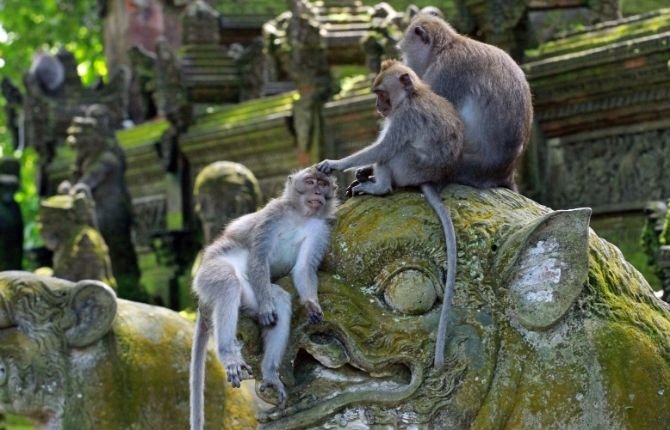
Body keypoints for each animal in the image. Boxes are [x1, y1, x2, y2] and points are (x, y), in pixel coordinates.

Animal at [190, 167, 338, 430]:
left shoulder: (320, 229)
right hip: (208, 274)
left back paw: (269, 373)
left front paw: (311, 303)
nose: (318, 193)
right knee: (228, 283)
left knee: (280, 298)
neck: (300, 216)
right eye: (310, 182)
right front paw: (269, 307)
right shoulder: (273, 215)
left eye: (323, 183)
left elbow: (303, 269)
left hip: (250, 294)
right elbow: (258, 258)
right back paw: (229, 355)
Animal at [316, 59, 463, 369]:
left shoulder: (403, 118)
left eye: (382, 93)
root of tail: (431, 179)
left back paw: (379, 187)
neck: (412, 96)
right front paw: (359, 171)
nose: (378, 106)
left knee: (391, 153)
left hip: (408, 166)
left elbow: (383, 147)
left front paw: (336, 164)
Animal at [399, 13, 533, 190]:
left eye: (406, 53)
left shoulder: (444, 73)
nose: (407, 64)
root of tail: (505, 173)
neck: (444, 48)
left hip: (463, 166)